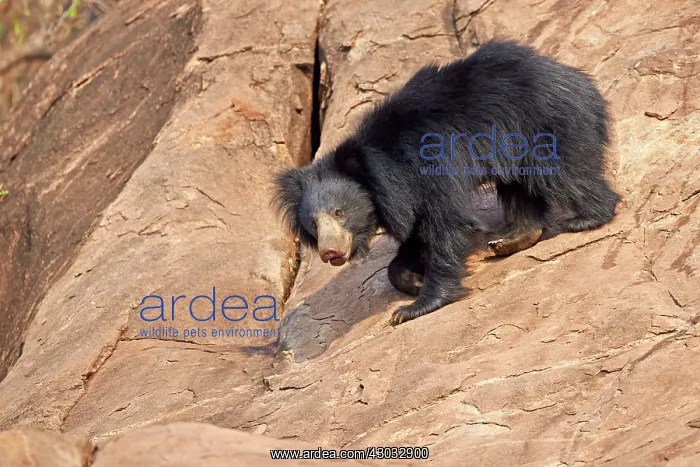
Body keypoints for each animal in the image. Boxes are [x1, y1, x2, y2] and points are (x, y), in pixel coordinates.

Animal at [272, 39, 620, 326]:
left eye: (339, 213)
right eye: (313, 225)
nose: (330, 253)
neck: (383, 171)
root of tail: (577, 78)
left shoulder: (429, 165)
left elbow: (446, 225)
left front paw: (414, 307)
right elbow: (415, 233)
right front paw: (411, 280)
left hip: (541, 126)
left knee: (563, 174)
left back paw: (585, 218)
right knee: (518, 187)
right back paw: (513, 239)